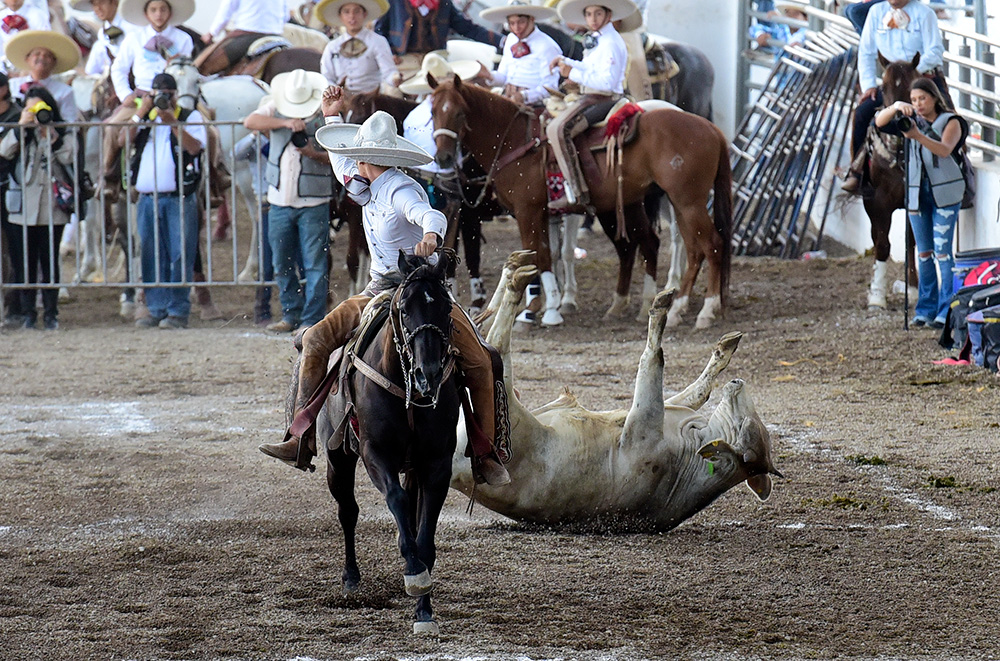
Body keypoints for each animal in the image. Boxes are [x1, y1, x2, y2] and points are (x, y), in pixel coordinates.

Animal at [426, 75, 732, 328]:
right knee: (683, 248)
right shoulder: (543, 213)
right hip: (674, 204)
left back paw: (706, 310)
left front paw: (544, 310)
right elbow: (546, 255)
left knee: (710, 245)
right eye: (432, 112)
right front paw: (547, 305)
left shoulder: (527, 211)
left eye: (459, 113)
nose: (442, 158)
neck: (516, 141)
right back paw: (668, 307)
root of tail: (711, 128)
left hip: (687, 202)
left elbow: (538, 256)